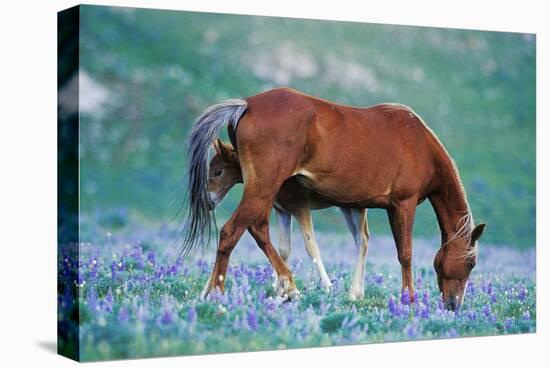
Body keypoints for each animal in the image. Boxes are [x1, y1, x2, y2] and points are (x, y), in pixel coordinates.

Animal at [207, 139, 370, 302]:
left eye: (217, 172)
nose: (209, 203)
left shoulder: (300, 207)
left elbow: (311, 246)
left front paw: (327, 286)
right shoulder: (282, 210)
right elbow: (284, 250)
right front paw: (280, 288)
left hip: (356, 208)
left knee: (362, 240)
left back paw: (354, 293)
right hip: (346, 208)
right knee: (362, 239)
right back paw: (359, 292)